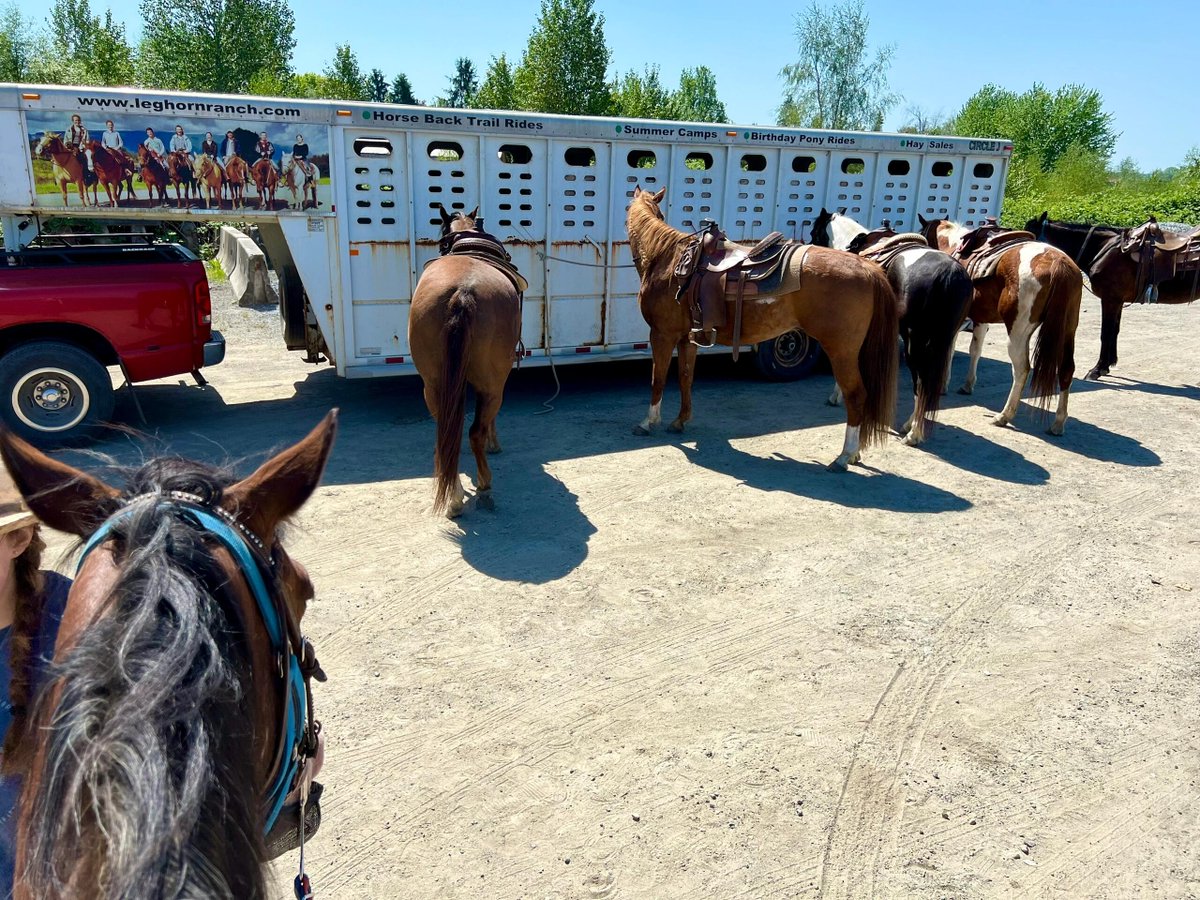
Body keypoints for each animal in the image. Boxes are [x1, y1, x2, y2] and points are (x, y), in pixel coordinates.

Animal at [408, 204, 523, 517]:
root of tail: (463, 292)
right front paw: (495, 444)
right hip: (492, 385)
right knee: (474, 433)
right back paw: (484, 486)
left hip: (433, 386)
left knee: (447, 434)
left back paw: (454, 496)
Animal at [627, 186, 899, 471]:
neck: (668, 260)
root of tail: (868, 268)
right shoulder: (687, 339)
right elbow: (685, 378)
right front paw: (680, 420)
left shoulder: (661, 335)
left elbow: (658, 379)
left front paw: (648, 422)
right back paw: (854, 453)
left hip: (841, 351)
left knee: (855, 395)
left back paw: (845, 455)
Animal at [812, 209, 973, 445]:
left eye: (814, 232)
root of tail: (948, 274)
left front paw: (837, 395)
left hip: (915, 342)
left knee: (921, 382)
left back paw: (913, 433)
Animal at [919, 215, 1083, 435]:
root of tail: (1059, 264)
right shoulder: (980, 319)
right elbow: (975, 350)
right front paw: (967, 385)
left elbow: (950, 350)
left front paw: (943, 385)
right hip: (1068, 329)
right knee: (1066, 369)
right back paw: (1058, 422)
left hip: (1018, 332)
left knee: (1022, 369)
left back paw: (1004, 416)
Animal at [1027, 212, 1200, 380]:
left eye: (1029, 236)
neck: (1103, 250)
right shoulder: (1117, 301)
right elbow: (1114, 331)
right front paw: (1108, 364)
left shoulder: (1110, 299)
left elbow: (1106, 333)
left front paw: (1097, 369)